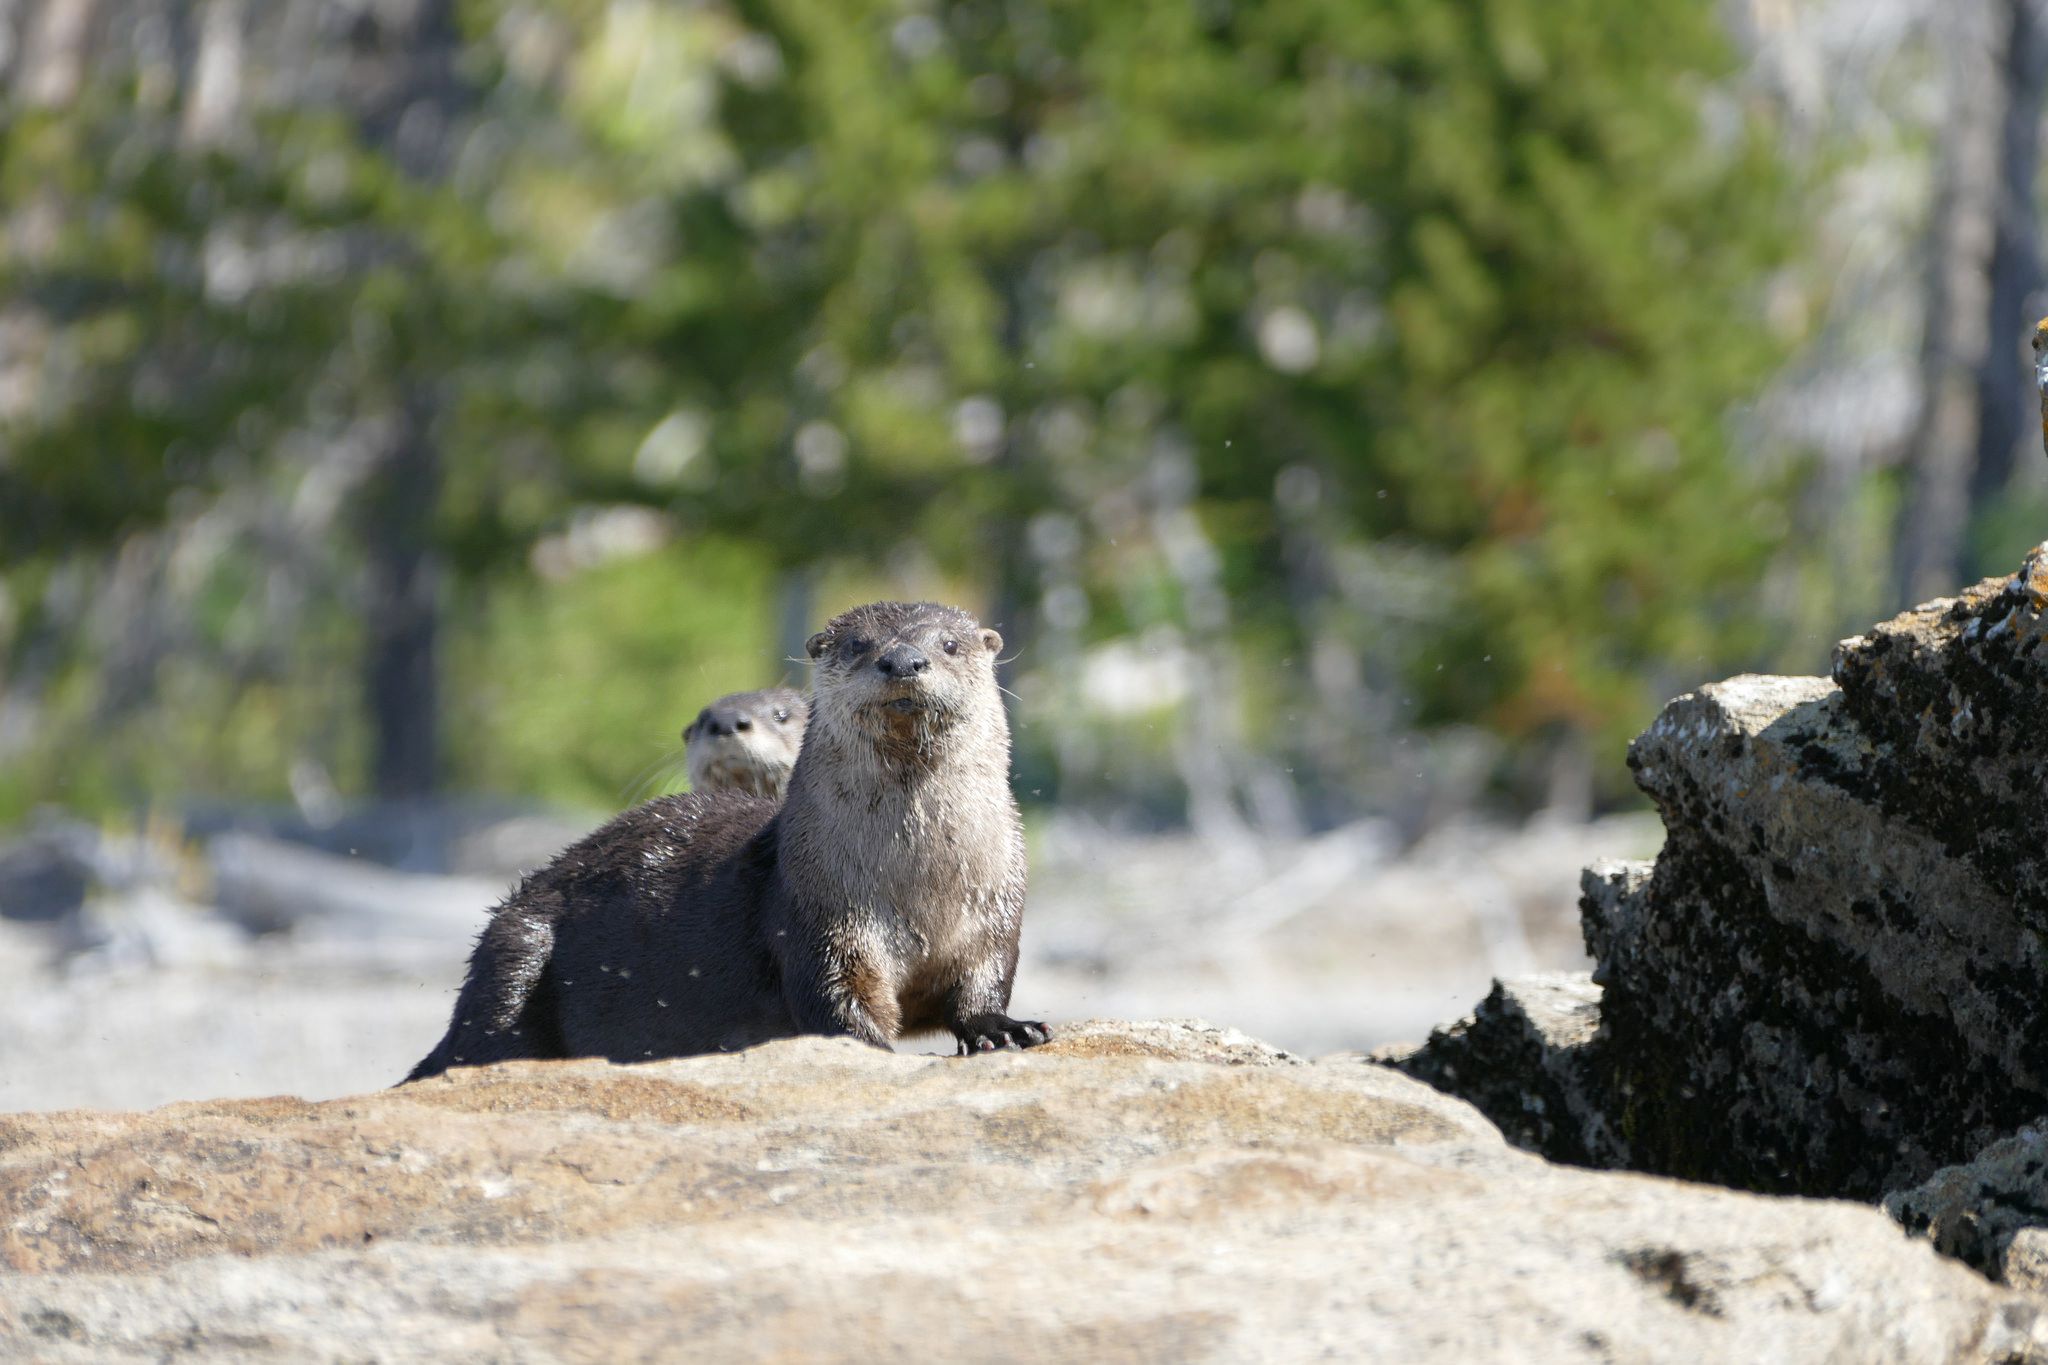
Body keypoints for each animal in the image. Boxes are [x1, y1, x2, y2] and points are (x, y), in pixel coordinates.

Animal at [405, 601, 1049, 1080]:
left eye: (949, 645)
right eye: (859, 646)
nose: (903, 661)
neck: (920, 881)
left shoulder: (995, 912)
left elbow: (982, 985)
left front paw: (1004, 1028)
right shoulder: (820, 919)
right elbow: (838, 1006)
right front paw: (871, 1051)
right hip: (516, 949)